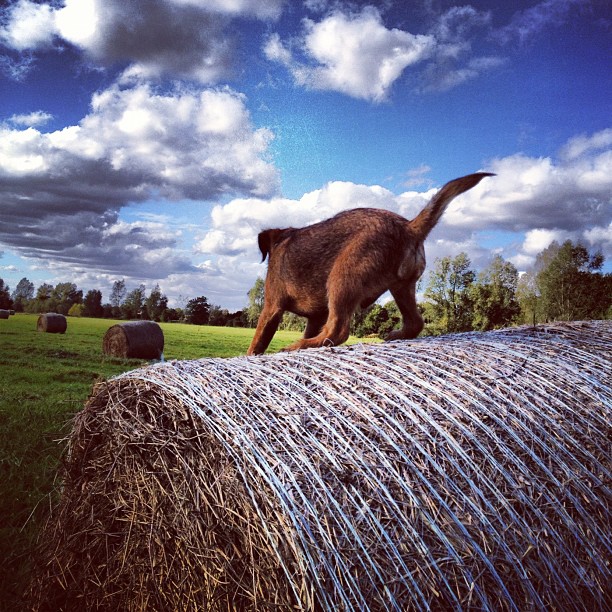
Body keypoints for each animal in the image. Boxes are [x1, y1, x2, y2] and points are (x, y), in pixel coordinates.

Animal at [249, 172, 492, 354]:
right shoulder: (315, 317)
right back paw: (396, 335)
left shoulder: (272, 306)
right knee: (415, 322)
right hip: (402, 288)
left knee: (337, 331)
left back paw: (298, 346)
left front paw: (252, 355)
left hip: (341, 279)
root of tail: (409, 228)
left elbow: (258, 341)